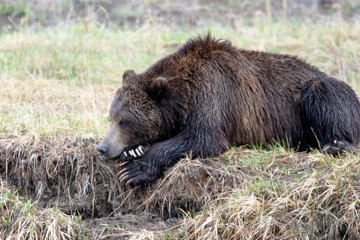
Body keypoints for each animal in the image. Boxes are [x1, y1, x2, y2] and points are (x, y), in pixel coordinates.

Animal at [97, 34, 360, 187]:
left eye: (124, 121)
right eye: (111, 117)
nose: (103, 147)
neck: (183, 96)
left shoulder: (213, 94)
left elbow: (203, 137)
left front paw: (133, 170)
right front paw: (134, 151)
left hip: (314, 98)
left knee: (325, 92)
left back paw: (337, 144)